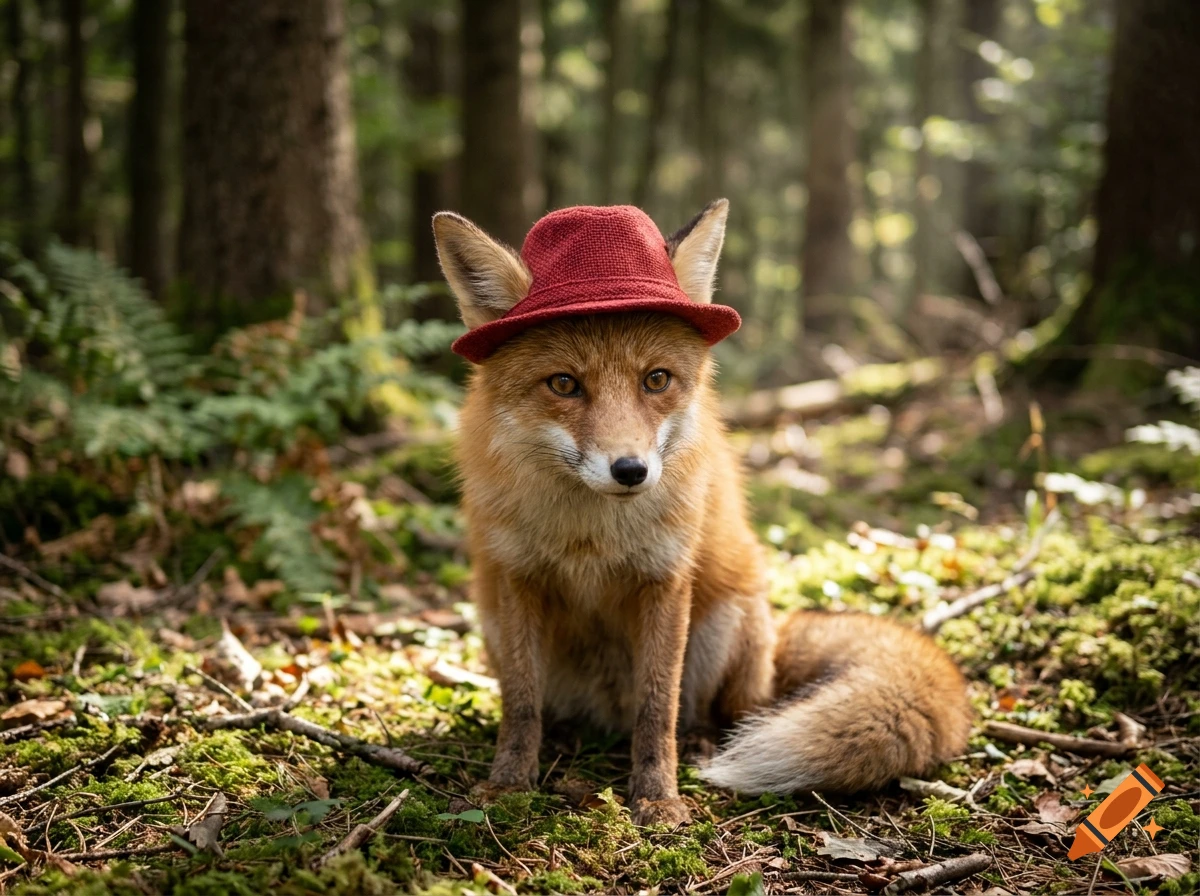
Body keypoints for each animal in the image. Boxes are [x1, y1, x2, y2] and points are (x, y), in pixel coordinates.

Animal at [433, 200, 972, 827]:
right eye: (563, 384)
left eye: (656, 379)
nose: (631, 470)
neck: (590, 537)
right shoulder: (520, 580)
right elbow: (520, 707)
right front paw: (508, 785)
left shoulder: (665, 582)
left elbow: (657, 709)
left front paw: (657, 797)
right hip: (495, 622)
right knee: (551, 707)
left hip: (723, 625)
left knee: (715, 712)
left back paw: (701, 745)